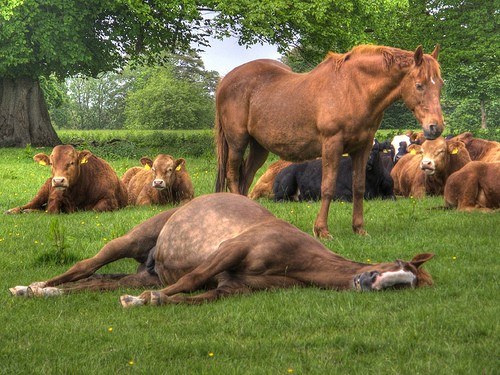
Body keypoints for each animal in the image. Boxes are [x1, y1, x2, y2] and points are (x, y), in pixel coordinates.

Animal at [8, 194, 434, 306]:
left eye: (406, 283)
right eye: (397, 265)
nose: (369, 281)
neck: (297, 260)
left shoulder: (231, 289)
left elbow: (195, 297)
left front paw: (150, 300)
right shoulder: (228, 252)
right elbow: (193, 278)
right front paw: (145, 300)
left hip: (143, 271)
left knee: (96, 283)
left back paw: (46, 292)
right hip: (129, 241)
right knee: (84, 267)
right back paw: (32, 287)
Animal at [213, 44, 444, 238]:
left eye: (439, 84)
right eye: (419, 85)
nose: (436, 127)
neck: (353, 89)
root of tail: (226, 80)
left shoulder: (362, 147)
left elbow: (359, 187)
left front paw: (359, 228)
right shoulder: (332, 145)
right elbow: (327, 187)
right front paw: (322, 230)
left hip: (259, 147)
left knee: (246, 178)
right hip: (237, 143)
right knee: (233, 176)